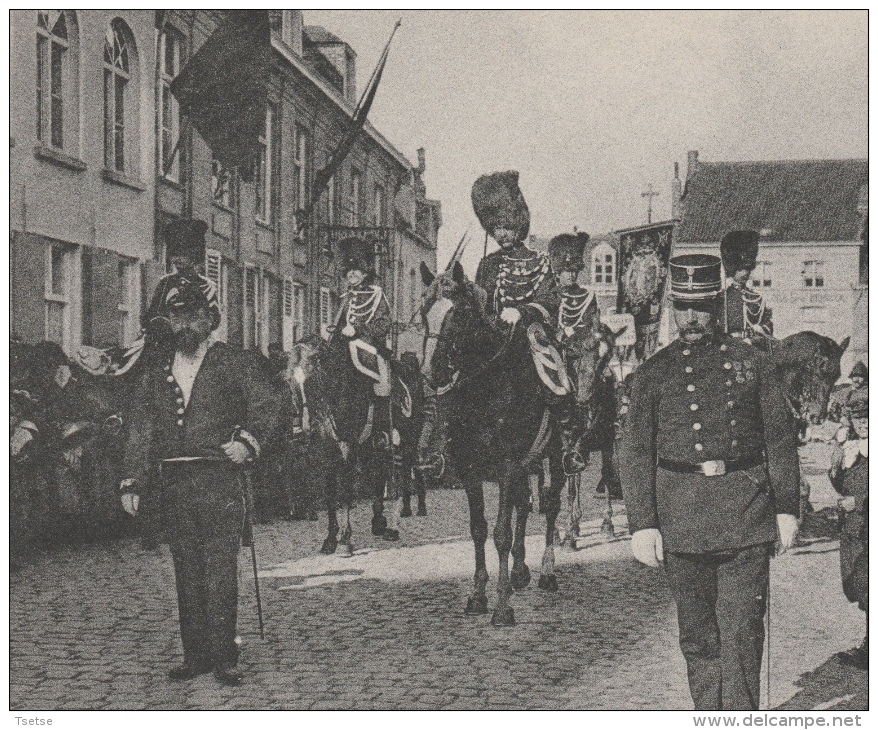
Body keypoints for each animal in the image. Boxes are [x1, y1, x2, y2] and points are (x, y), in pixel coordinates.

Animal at [422, 258, 576, 624]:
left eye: (460, 312)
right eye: (424, 312)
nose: (432, 374)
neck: (486, 388)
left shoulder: (507, 465)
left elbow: (501, 533)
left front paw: (502, 607)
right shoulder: (470, 469)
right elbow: (479, 528)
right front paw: (478, 596)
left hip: (554, 455)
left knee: (550, 504)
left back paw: (547, 571)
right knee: (523, 503)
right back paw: (520, 571)